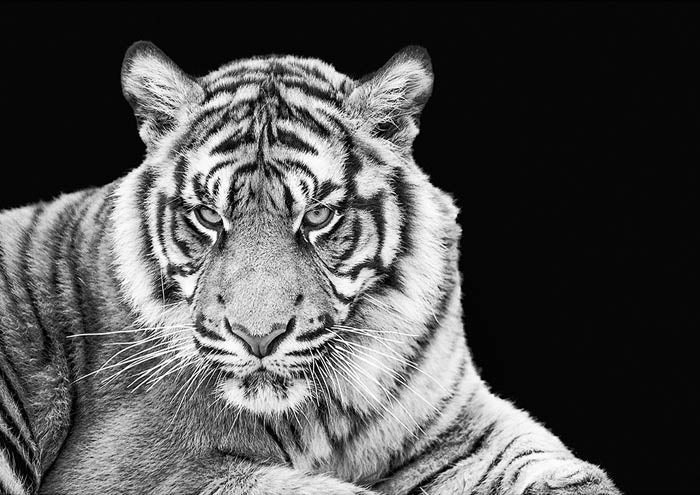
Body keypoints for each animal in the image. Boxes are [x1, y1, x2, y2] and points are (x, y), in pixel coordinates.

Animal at [0, 41, 620, 495]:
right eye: (208, 216)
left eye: (317, 216)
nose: (258, 337)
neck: (330, 410)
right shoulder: (139, 466)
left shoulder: (460, 421)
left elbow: (550, 463)